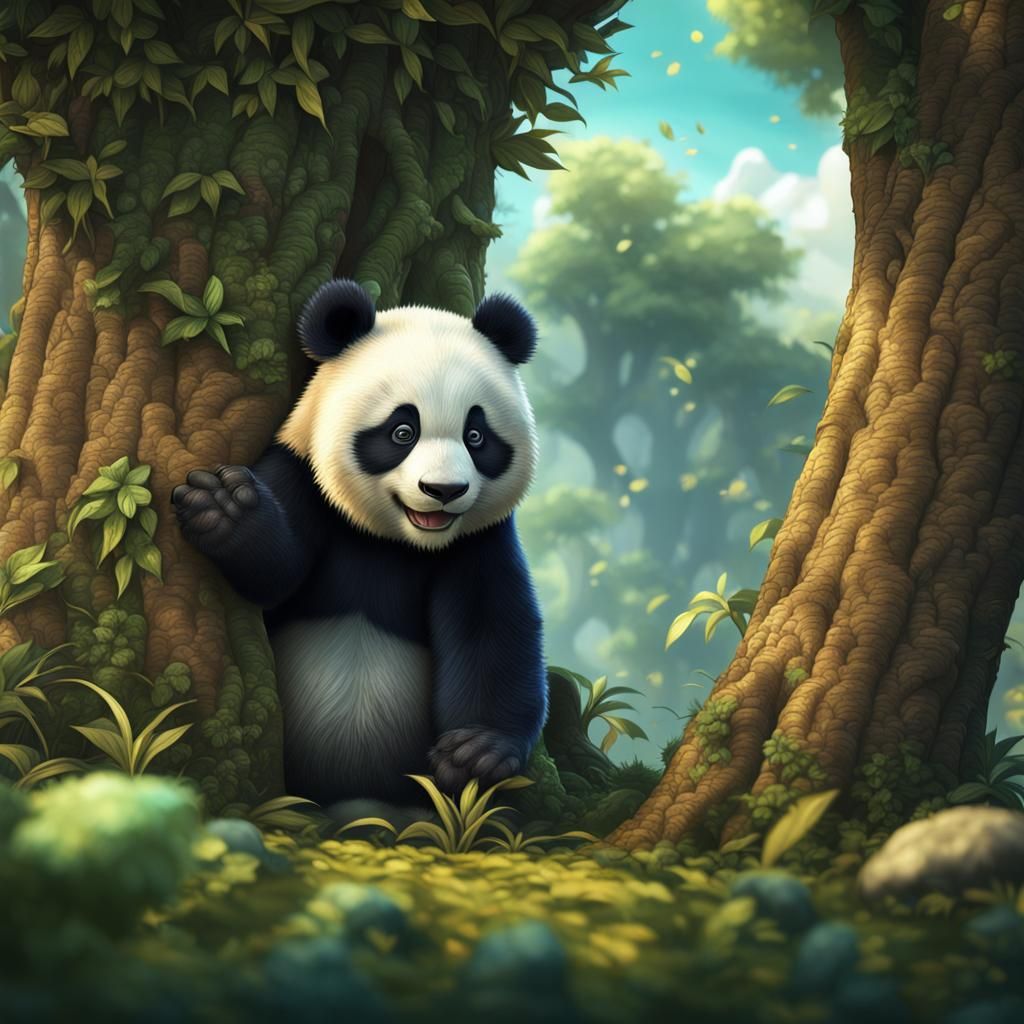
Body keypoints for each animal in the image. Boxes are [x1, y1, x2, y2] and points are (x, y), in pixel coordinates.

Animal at [171, 279, 547, 809]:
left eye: (476, 436)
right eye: (402, 431)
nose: (444, 490)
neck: (394, 541)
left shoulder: (479, 541)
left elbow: (492, 629)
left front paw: (477, 753)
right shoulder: (303, 478)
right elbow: (274, 579)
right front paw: (223, 505)